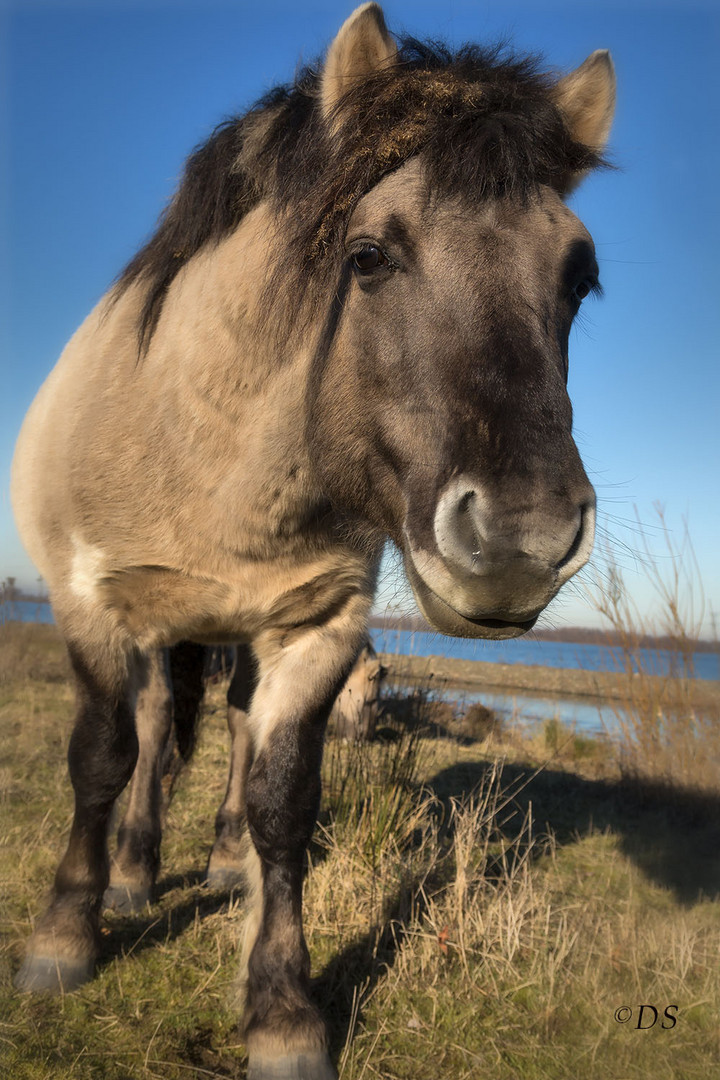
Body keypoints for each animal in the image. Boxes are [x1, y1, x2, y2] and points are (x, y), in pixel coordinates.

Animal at [103, 639, 386, 911]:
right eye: (372, 695)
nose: (365, 737)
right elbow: (154, 707)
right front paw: (131, 866)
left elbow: (246, 707)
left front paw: (229, 849)